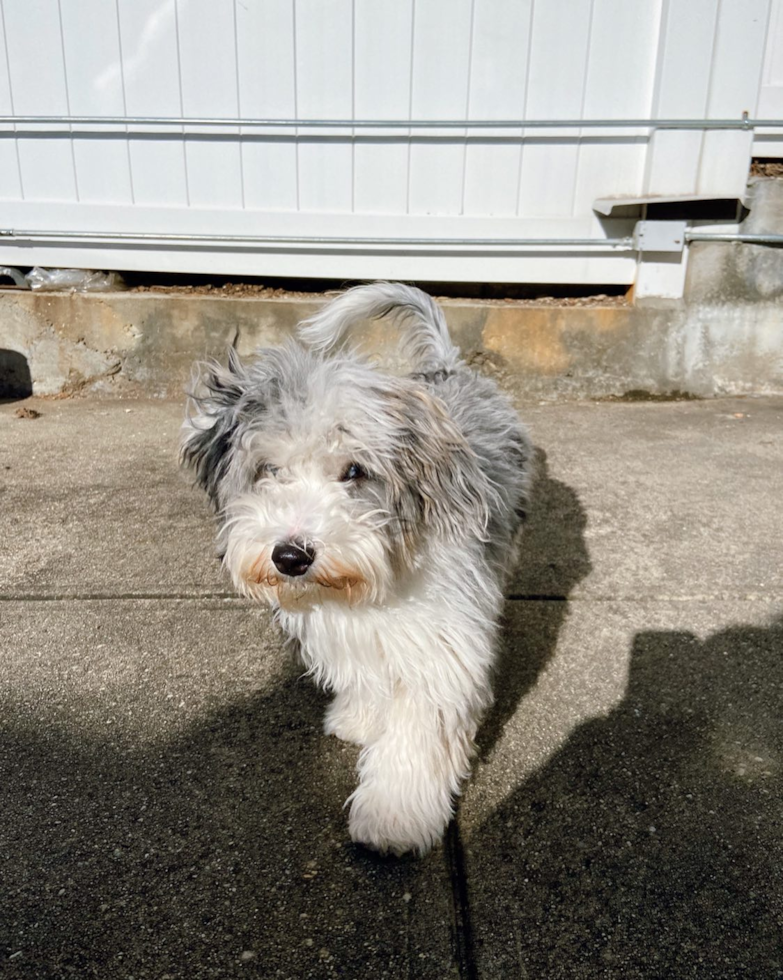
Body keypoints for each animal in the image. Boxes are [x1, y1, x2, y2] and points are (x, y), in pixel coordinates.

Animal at [181, 280, 536, 852]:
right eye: (269, 469)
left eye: (355, 471)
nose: (290, 556)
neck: (378, 577)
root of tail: (448, 367)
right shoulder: (350, 631)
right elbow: (366, 678)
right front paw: (361, 719)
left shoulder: (442, 645)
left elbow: (417, 736)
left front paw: (393, 816)